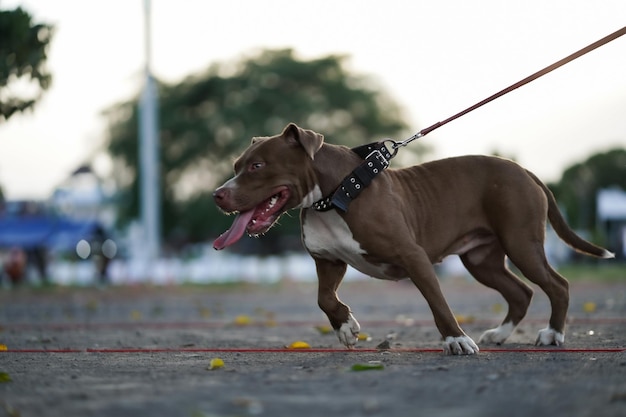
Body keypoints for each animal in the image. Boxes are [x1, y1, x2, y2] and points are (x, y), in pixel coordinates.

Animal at [212, 122, 612, 354]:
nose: (218, 194)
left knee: (557, 285)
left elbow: (438, 304)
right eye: (236, 166)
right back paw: (500, 335)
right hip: (481, 260)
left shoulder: (413, 256)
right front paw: (346, 327)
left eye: (257, 166)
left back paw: (553, 335)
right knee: (521, 292)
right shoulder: (328, 260)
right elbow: (324, 298)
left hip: (520, 243)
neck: (335, 194)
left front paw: (456, 340)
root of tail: (525, 170)